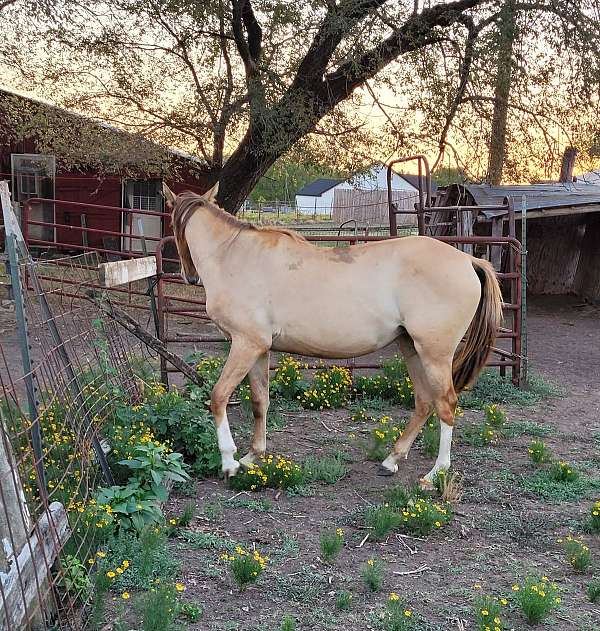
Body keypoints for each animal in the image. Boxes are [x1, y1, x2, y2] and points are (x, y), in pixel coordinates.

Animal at [163, 183, 502, 488]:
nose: (188, 276)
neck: (235, 255)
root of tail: (468, 261)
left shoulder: (246, 344)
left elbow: (219, 396)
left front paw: (230, 462)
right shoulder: (259, 349)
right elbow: (260, 401)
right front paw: (252, 456)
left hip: (435, 354)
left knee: (446, 403)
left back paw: (435, 474)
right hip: (411, 348)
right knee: (424, 401)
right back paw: (391, 460)